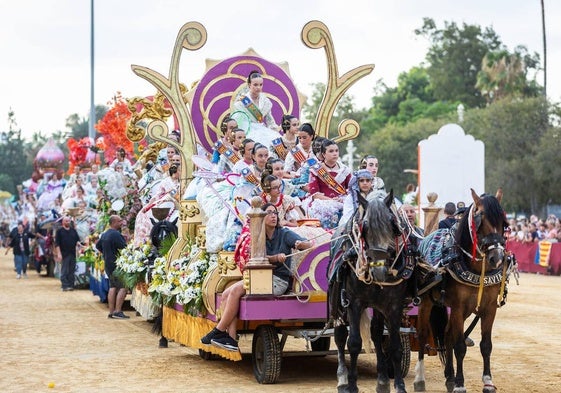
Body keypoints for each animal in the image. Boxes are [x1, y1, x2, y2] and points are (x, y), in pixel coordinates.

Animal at [328, 191, 412, 392]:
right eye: (364, 225)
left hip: (379, 306)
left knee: (376, 333)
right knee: (340, 335)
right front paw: (352, 384)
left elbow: (395, 346)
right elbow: (354, 343)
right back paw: (342, 378)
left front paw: (399, 385)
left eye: (392, 222)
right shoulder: (354, 303)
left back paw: (382, 379)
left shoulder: (393, 305)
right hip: (338, 306)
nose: (380, 270)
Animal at [412, 188, 512, 390]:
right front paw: (460, 384)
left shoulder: (489, 308)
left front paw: (487, 381)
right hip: (427, 302)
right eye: (480, 218)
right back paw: (420, 378)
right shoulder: (458, 307)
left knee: (447, 334)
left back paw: (449, 376)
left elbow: (486, 345)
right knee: (423, 334)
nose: (496, 258)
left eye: (503, 223)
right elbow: (459, 346)